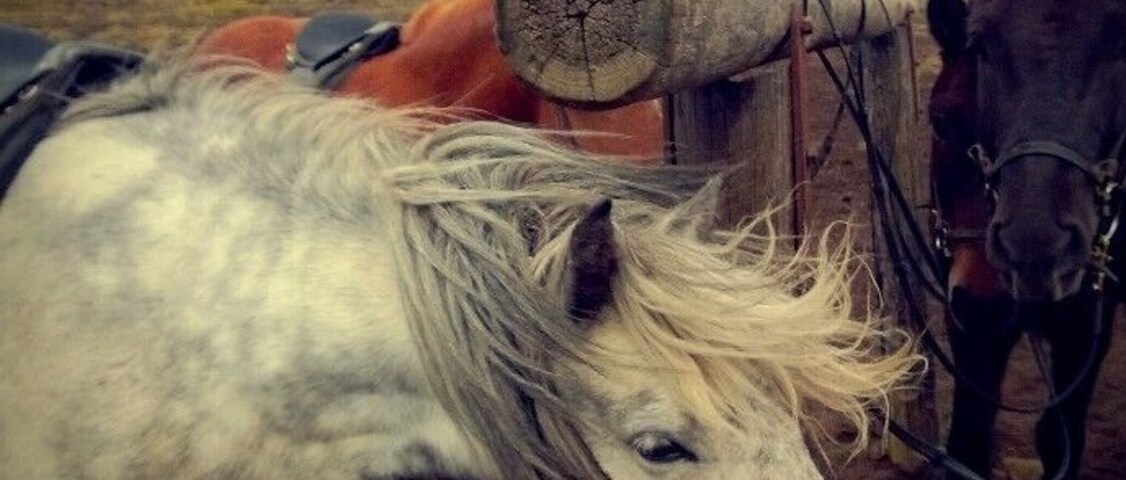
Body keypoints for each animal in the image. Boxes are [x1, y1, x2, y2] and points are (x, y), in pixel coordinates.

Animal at [926, 0, 1124, 478]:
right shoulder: (969, 327)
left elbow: (1058, 438)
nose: (987, 298)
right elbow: (967, 438)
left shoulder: (1084, 327)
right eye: (939, 122)